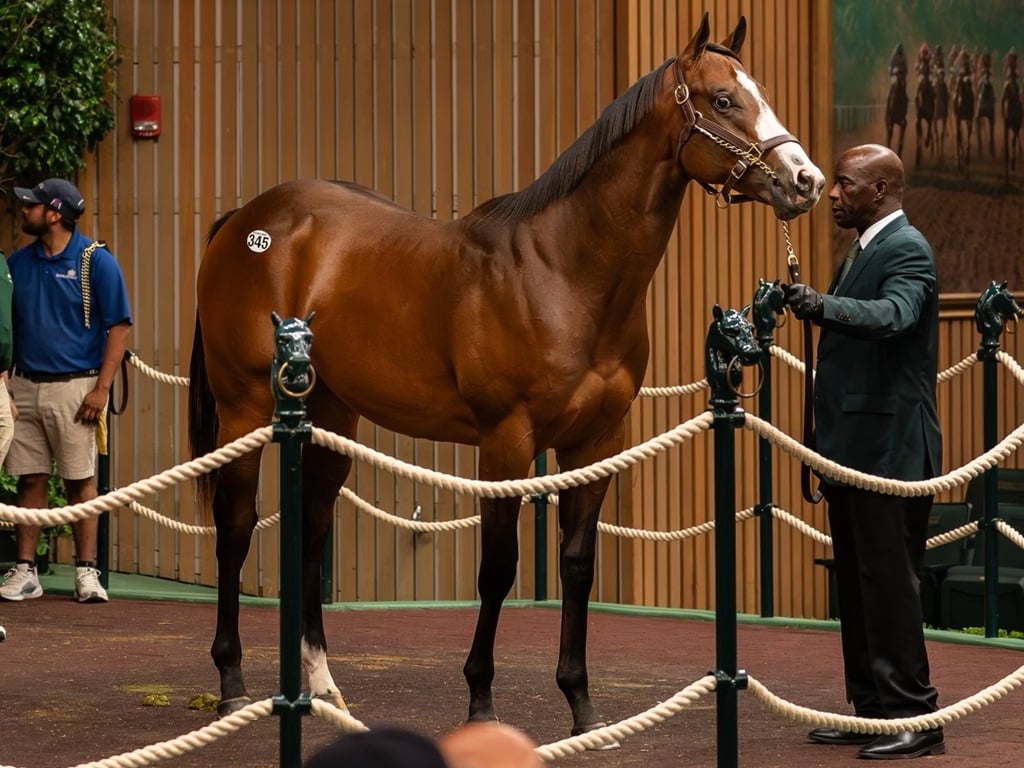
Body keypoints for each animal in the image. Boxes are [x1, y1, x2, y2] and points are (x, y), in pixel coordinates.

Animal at [186, 10, 823, 733]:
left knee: (311, 530)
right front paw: (481, 702)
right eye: (722, 100)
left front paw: (583, 707)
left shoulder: (596, 443)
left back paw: (322, 686)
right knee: (236, 528)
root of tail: (246, 221)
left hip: (329, 418)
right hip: (244, 408)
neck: (563, 273)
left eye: (758, 91)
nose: (805, 180)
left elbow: (578, 565)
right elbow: (497, 569)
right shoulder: (506, 443)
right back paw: (232, 684)